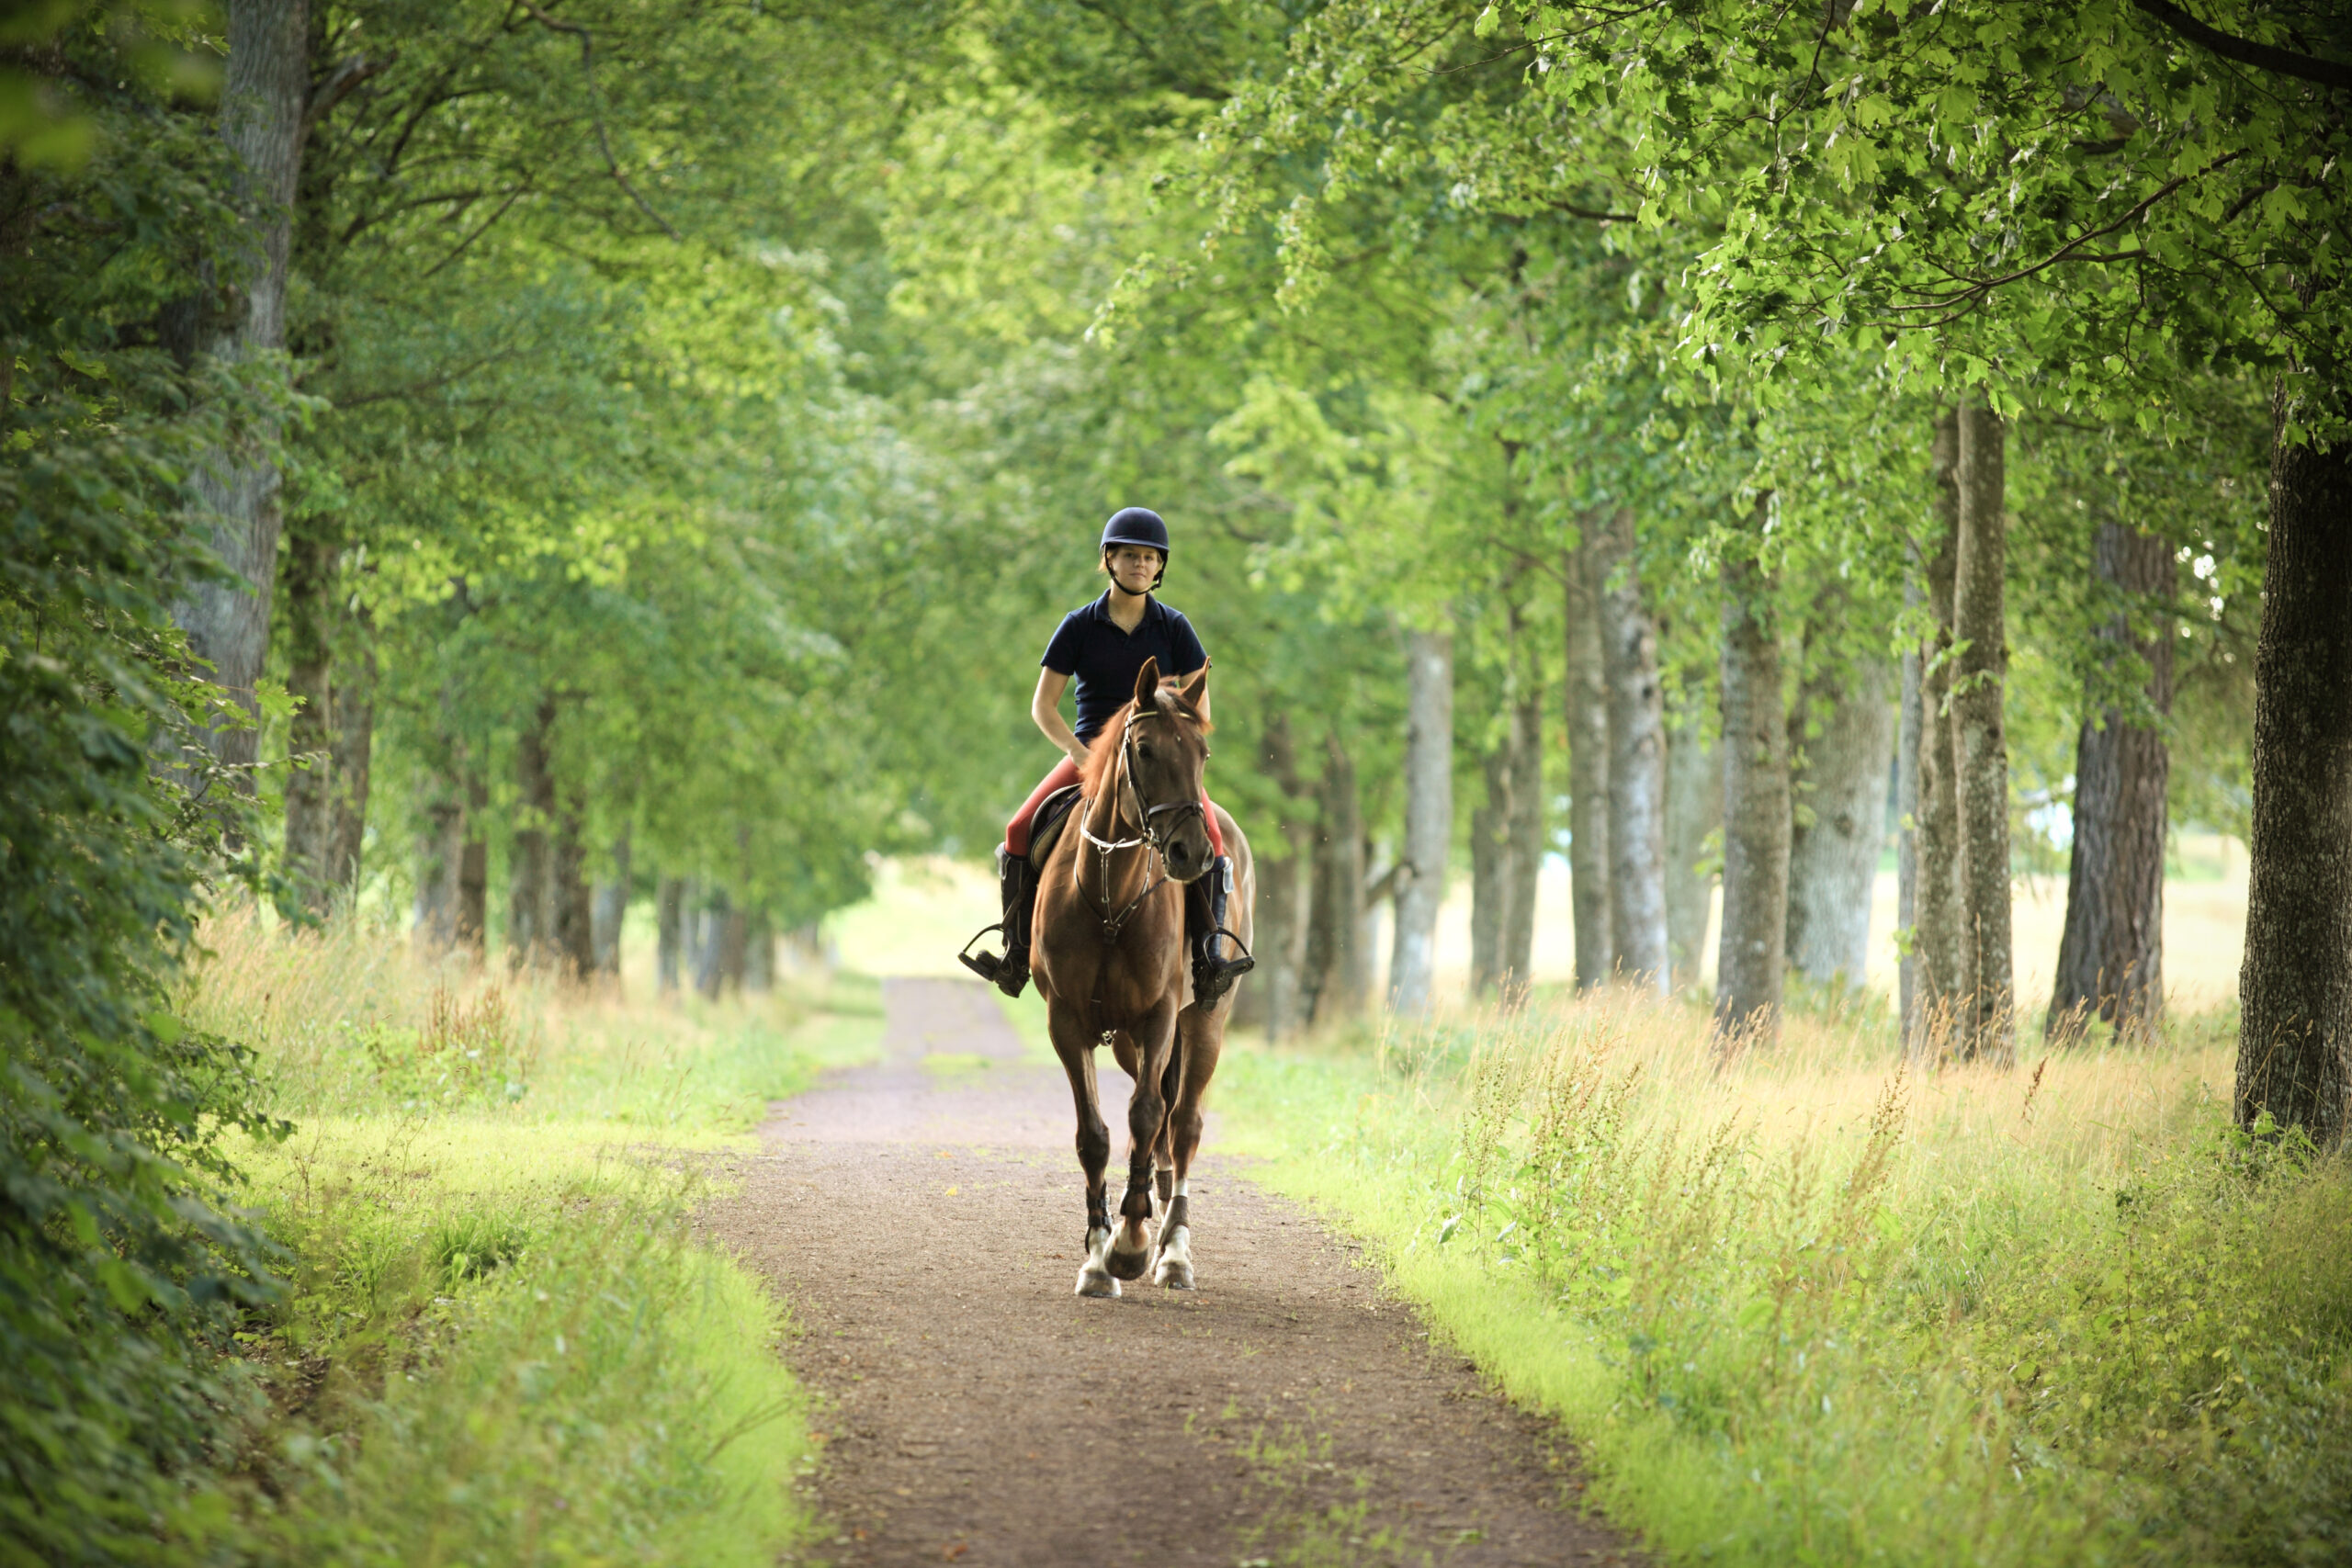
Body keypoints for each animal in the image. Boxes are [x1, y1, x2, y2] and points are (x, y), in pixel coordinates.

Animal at [1030, 653, 1250, 1297]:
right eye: (1146, 750)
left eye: (1203, 752)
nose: (1190, 855)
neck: (1111, 896)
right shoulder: (1067, 1021)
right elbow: (1097, 1134)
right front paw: (1098, 1256)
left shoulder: (1159, 1015)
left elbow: (1148, 1117)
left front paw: (1129, 1245)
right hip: (1127, 1041)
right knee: (1156, 1132)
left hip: (1202, 1023)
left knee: (1183, 1124)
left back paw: (1173, 1250)